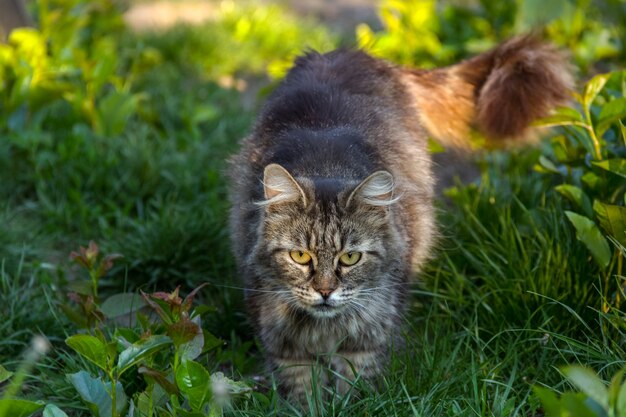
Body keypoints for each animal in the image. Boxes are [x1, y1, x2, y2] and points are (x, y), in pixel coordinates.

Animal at [228, 36, 572, 396]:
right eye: (300, 256)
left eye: (350, 258)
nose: (325, 292)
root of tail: (349, 52)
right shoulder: (284, 343)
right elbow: (303, 391)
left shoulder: (369, 336)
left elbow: (357, 386)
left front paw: (352, 400)